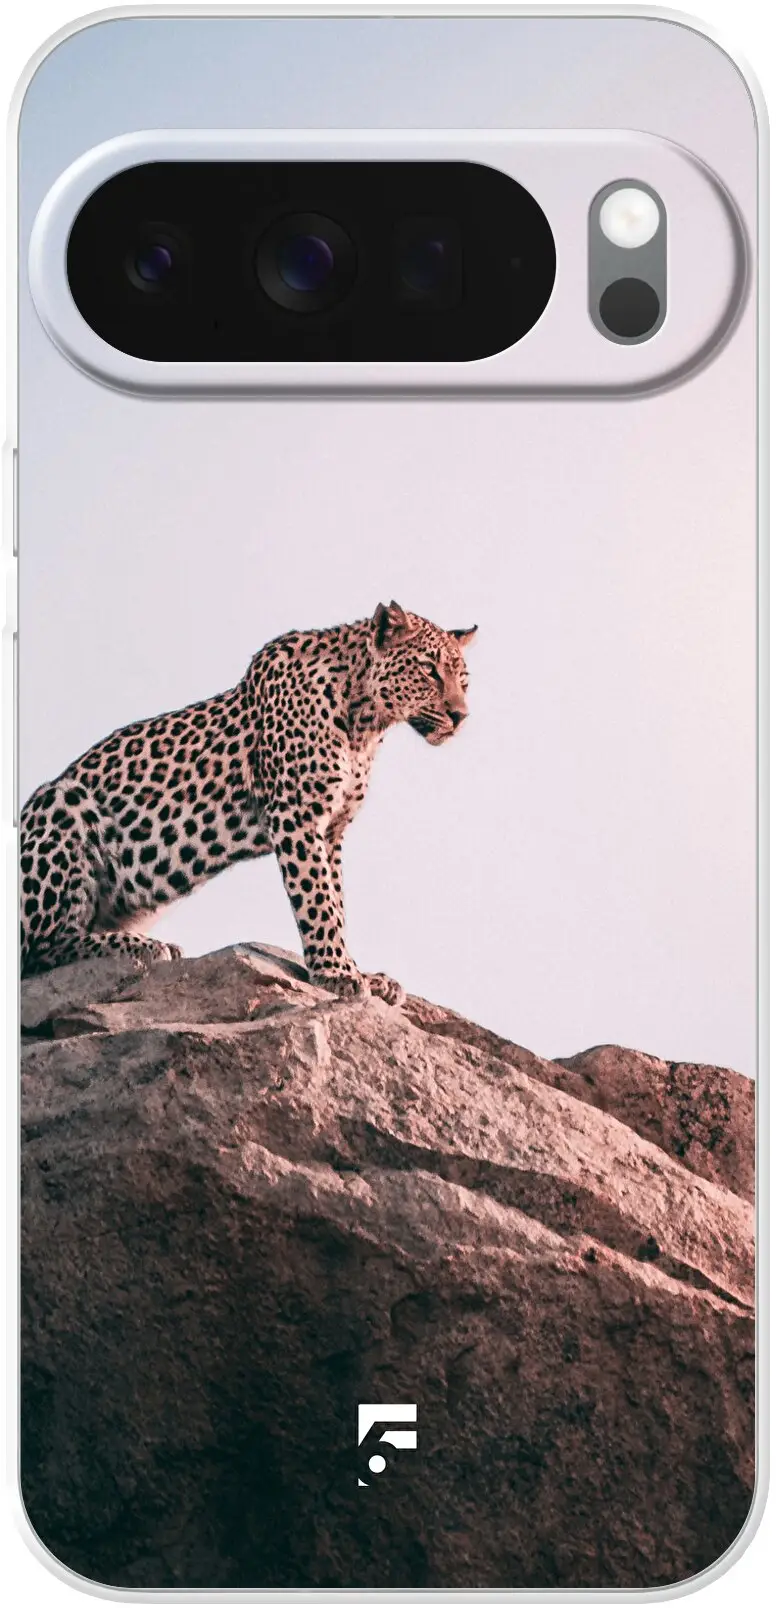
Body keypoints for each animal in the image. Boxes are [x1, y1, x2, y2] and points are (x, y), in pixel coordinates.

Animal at [20, 602, 476, 1001]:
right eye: (429, 670)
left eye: (464, 680)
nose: (461, 716)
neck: (365, 721)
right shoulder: (297, 815)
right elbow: (318, 900)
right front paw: (337, 974)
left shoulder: (332, 830)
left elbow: (337, 901)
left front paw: (359, 972)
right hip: (59, 802)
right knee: (43, 948)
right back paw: (142, 946)